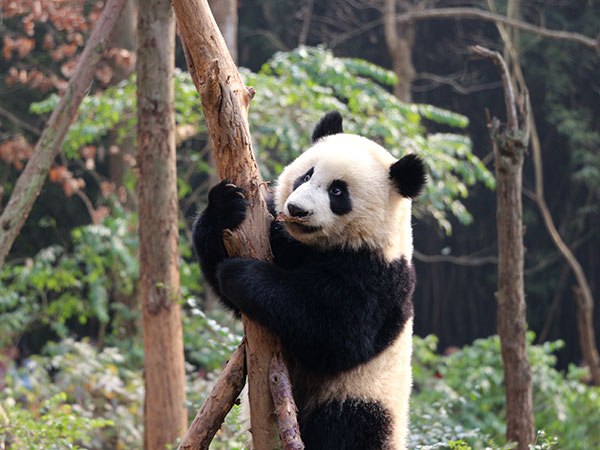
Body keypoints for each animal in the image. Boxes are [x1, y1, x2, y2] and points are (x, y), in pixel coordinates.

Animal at [193, 111, 426, 450]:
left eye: (338, 191)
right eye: (305, 176)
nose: (296, 209)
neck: (321, 246)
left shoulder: (379, 277)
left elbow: (334, 332)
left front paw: (240, 274)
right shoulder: (280, 236)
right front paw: (225, 207)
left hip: (362, 396)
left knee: (347, 427)